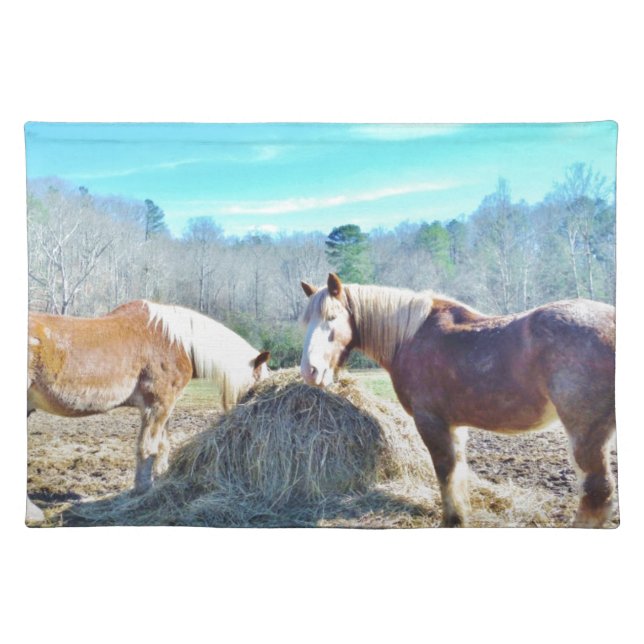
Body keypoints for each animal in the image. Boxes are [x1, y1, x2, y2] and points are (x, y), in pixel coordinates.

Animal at [27, 299, 270, 508]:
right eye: (258, 381)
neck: (177, 342)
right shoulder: (157, 405)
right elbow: (148, 447)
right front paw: (144, 489)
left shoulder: (166, 406)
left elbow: (162, 445)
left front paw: (160, 477)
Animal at [299, 273, 616, 528]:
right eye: (307, 321)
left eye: (331, 318)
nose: (309, 371)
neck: (411, 337)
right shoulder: (454, 426)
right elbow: (458, 469)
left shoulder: (430, 421)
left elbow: (444, 471)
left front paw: (451, 519)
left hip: (586, 433)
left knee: (597, 491)